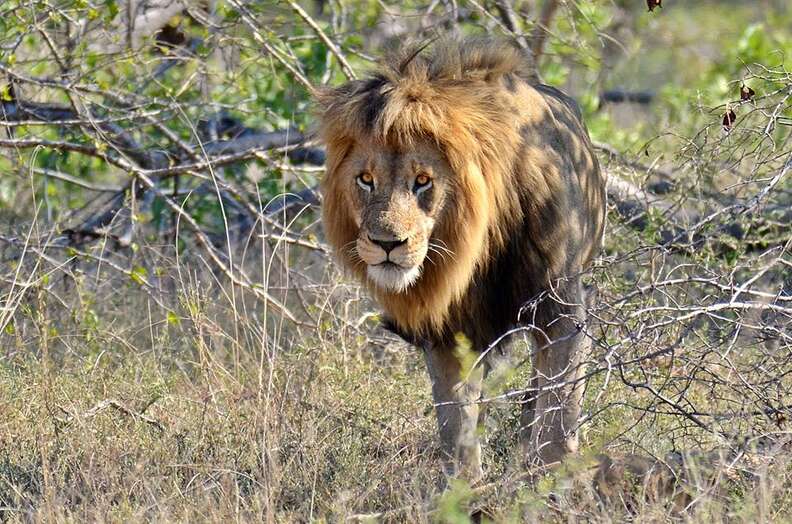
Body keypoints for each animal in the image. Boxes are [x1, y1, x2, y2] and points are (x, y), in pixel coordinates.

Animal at [316, 35, 608, 478]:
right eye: (366, 179)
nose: (387, 243)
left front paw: (552, 475)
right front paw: (463, 486)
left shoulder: (563, 306)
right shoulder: (450, 331)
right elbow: (456, 424)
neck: (480, 244)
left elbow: (558, 409)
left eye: (423, 181)